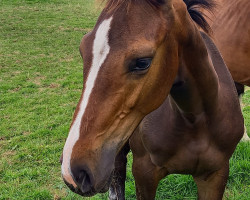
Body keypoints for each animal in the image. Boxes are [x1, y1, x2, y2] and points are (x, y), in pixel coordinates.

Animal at [61, 0, 244, 199]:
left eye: (142, 62)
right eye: (82, 50)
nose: (73, 171)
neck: (196, 121)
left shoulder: (215, 175)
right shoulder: (144, 172)